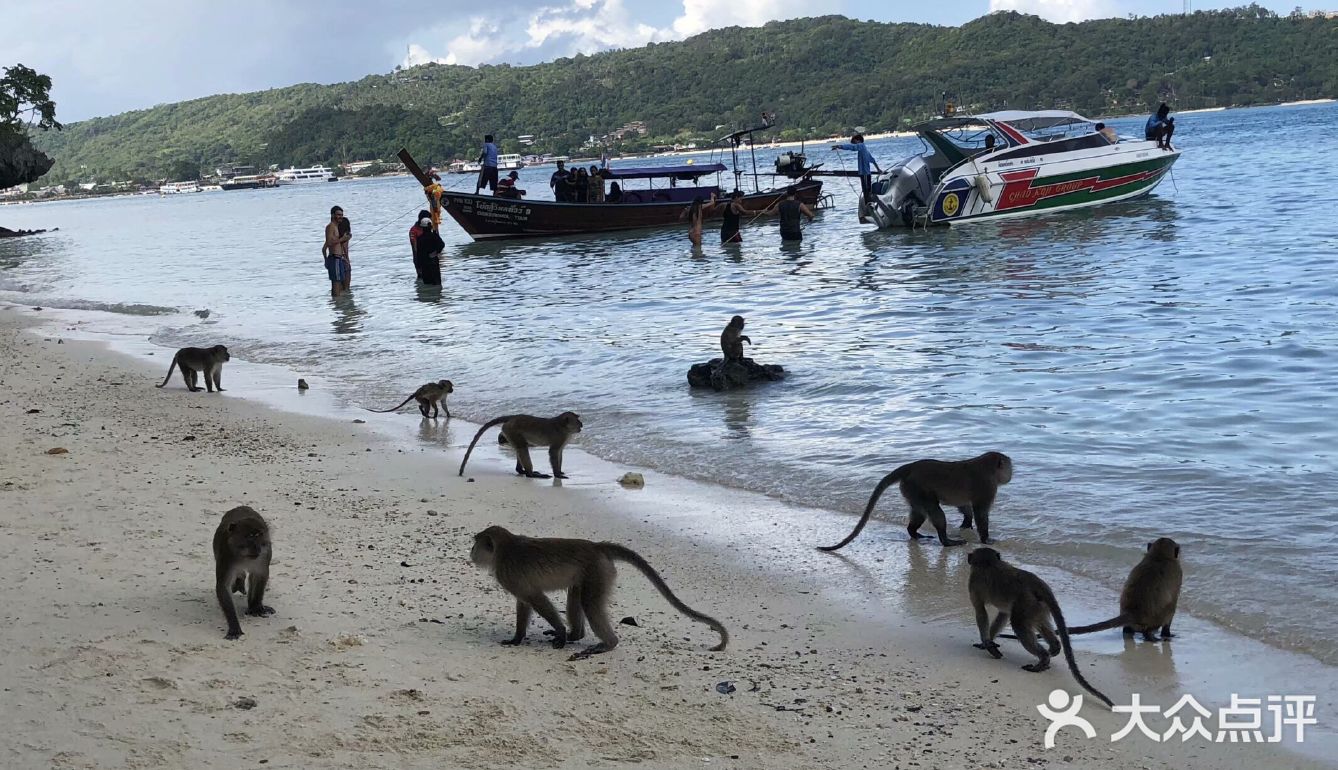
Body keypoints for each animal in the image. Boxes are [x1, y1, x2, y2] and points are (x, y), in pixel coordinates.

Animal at [211, 508, 274, 642]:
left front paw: (255, 607)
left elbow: (260, 575)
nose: (257, 547)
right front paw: (234, 627)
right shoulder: (227, 555)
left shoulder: (265, 554)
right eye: (250, 536)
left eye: (259, 535)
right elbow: (223, 586)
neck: (244, 556)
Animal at [465, 524, 727, 656]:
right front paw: (518, 638)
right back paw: (576, 635)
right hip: (591, 573)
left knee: (589, 604)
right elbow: (525, 602)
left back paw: (606, 643)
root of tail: (597, 547)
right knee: (577, 594)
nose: (471, 552)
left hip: (598, 572)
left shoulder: (509, 573)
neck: (504, 549)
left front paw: (561, 632)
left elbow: (535, 598)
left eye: (476, 543)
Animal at [813, 452, 1011, 554]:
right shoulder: (987, 485)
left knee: (920, 512)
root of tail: (910, 467)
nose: (1011, 473)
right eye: (1009, 466)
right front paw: (985, 538)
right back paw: (946, 541)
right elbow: (980, 511)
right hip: (917, 487)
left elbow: (965, 506)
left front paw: (967, 522)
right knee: (936, 512)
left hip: (911, 490)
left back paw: (914, 532)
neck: (986, 466)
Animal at [968, 549, 1113, 712]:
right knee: (1037, 623)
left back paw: (1043, 659)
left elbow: (981, 612)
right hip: (1038, 605)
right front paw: (989, 642)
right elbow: (1003, 614)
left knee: (1019, 624)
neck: (989, 562)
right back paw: (1054, 647)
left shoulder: (973, 583)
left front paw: (986, 643)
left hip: (1027, 603)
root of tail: (1036, 582)